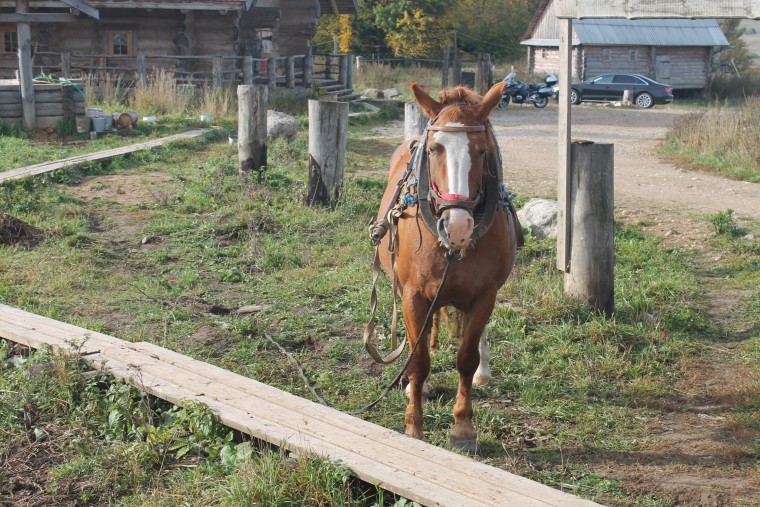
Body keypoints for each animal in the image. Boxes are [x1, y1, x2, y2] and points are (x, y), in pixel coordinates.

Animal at [376, 81, 520, 454]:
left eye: (483, 151)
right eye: (434, 149)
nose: (456, 227)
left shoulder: (485, 295)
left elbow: (466, 359)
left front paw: (463, 428)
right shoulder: (413, 294)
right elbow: (419, 360)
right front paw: (414, 425)